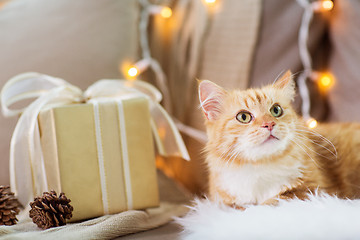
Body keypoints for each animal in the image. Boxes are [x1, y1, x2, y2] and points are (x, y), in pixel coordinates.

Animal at [198, 70, 360, 207]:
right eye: (243, 117)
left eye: (276, 110)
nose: (269, 124)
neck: (261, 167)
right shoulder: (225, 201)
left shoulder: (314, 189)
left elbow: (276, 199)